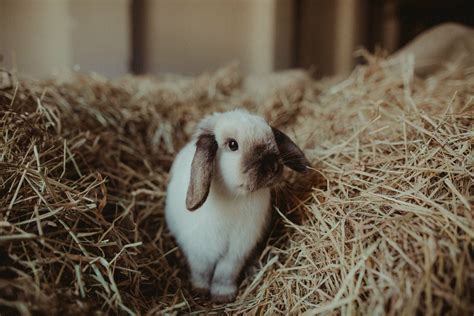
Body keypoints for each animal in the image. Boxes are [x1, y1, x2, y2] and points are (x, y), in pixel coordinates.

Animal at [165, 109, 310, 304]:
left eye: (271, 136)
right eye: (232, 145)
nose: (272, 166)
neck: (236, 196)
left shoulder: (236, 251)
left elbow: (225, 273)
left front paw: (222, 296)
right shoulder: (200, 250)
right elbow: (201, 271)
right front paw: (199, 290)